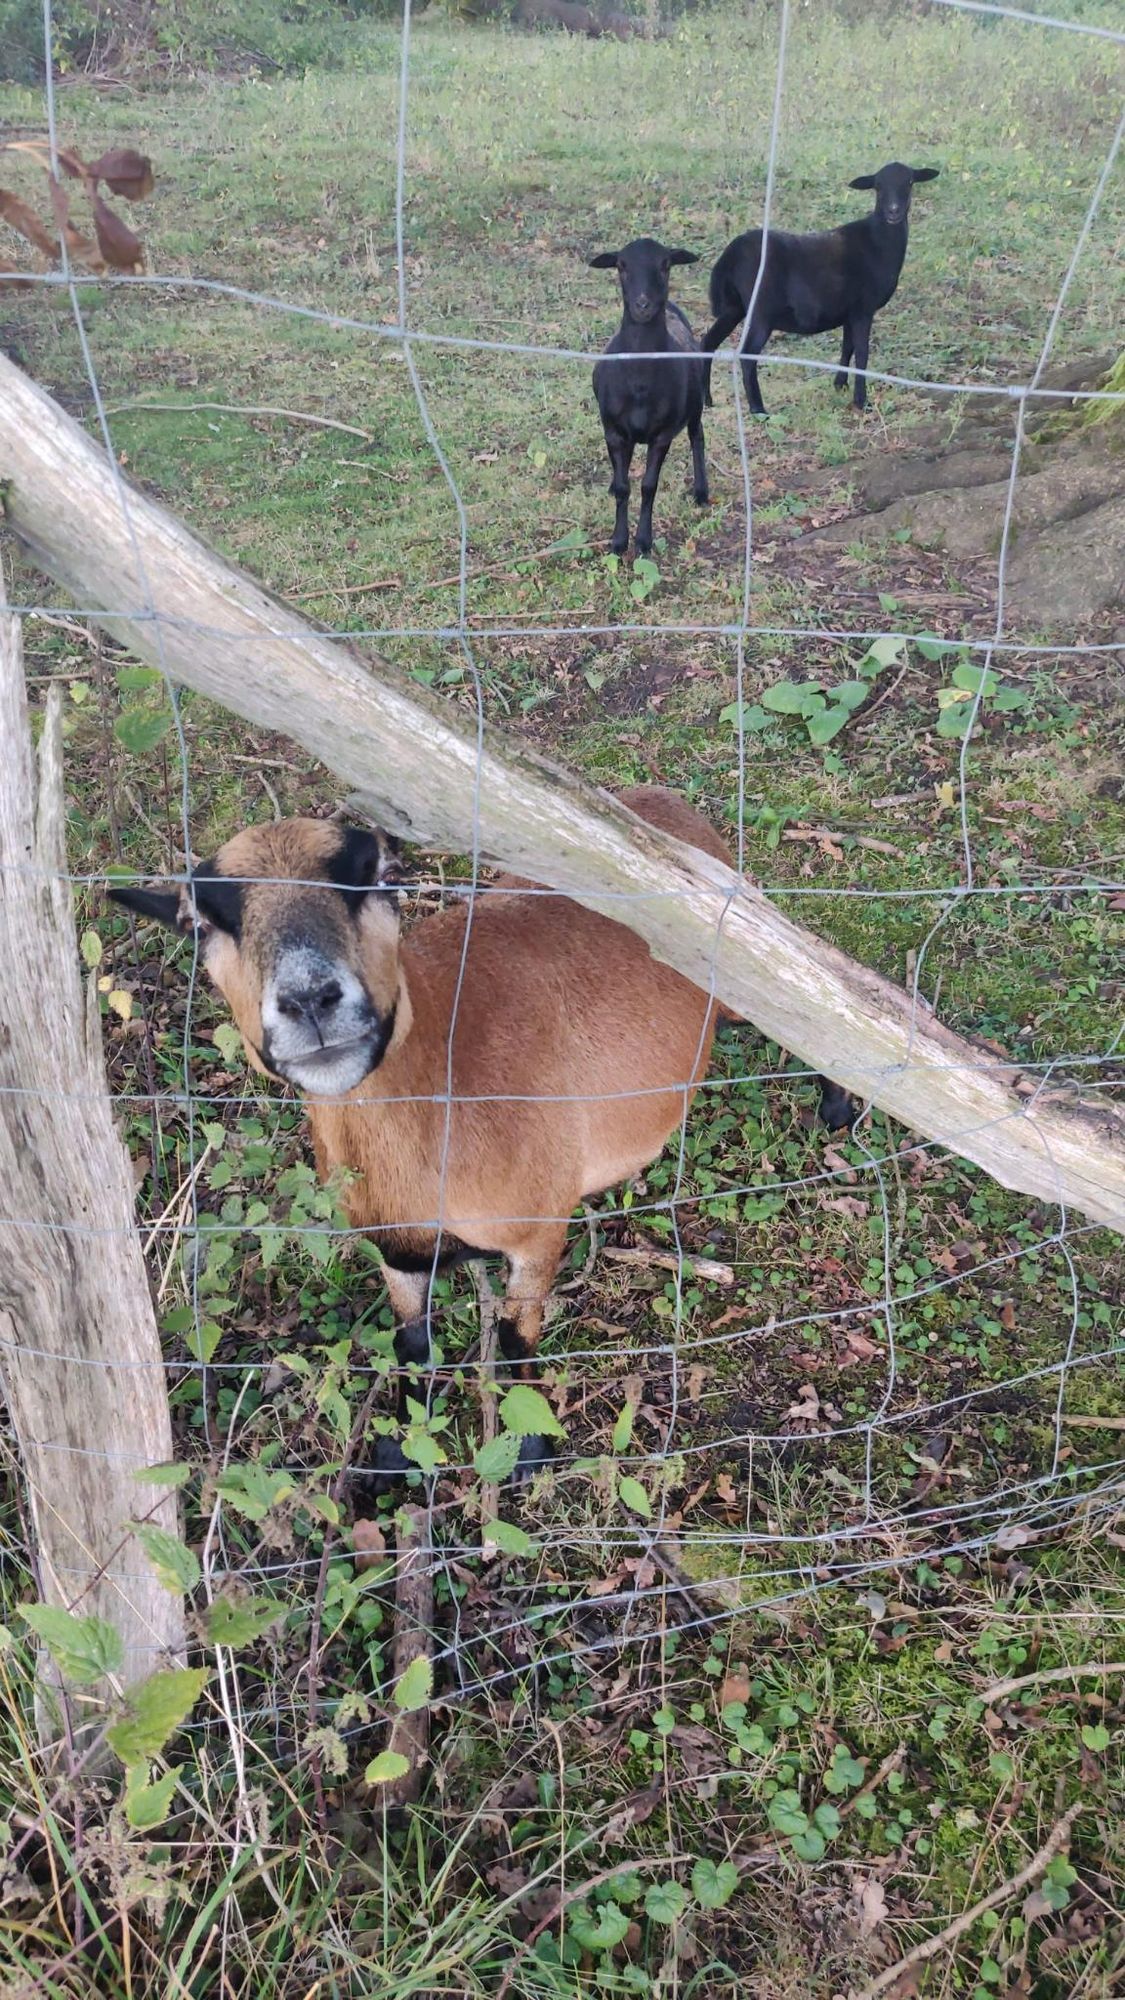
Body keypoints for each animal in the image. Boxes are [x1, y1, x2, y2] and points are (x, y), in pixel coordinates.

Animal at [592, 240, 704, 556]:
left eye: (666, 265)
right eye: (621, 266)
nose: (643, 305)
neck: (639, 380)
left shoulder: (662, 435)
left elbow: (648, 486)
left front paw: (643, 541)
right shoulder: (613, 431)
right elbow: (623, 487)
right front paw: (618, 542)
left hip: (696, 405)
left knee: (697, 438)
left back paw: (701, 492)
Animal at [700, 162, 936, 416]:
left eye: (910, 182)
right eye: (878, 186)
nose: (893, 212)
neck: (878, 241)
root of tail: (730, 255)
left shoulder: (849, 311)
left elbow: (847, 347)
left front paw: (840, 385)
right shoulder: (863, 308)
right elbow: (862, 353)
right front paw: (860, 401)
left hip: (734, 307)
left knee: (707, 342)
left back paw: (707, 399)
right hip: (761, 310)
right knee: (746, 355)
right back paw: (758, 409)